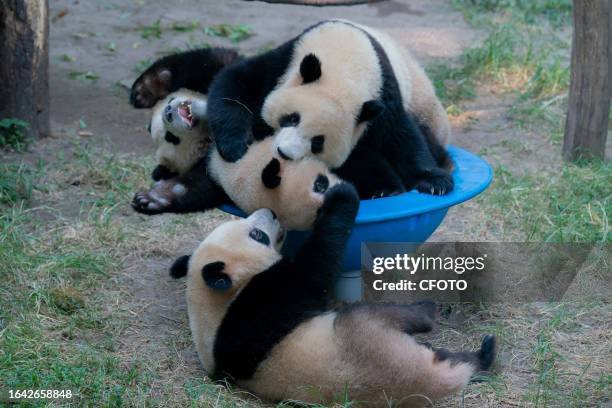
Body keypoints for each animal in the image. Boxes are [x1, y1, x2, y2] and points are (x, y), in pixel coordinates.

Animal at [169, 183, 498, 406]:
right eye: (257, 235)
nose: (271, 213)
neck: (216, 306)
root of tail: (423, 381)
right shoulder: (264, 303)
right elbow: (315, 269)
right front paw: (341, 195)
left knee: (456, 360)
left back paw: (480, 354)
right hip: (366, 339)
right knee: (386, 317)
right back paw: (430, 313)